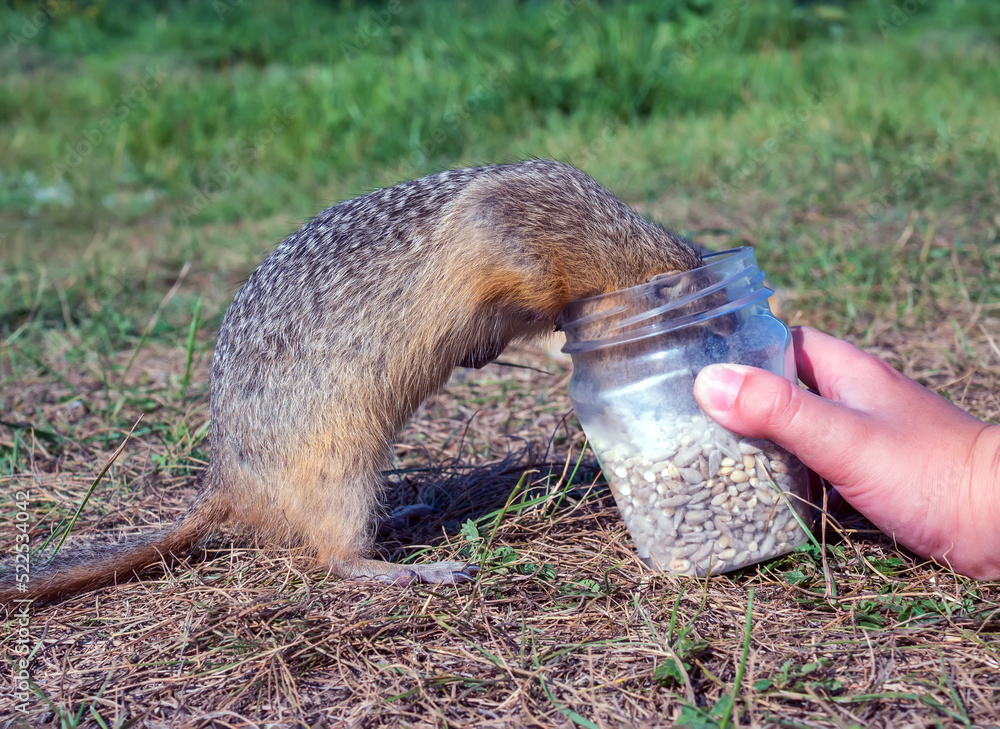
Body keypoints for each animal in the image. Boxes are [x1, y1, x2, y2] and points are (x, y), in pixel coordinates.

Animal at [0, 158, 704, 604]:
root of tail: (225, 482)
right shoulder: (513, 236)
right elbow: (523, 288)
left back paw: (411, 515)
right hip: (338, 469)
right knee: (332, 555)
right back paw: (414, 570)